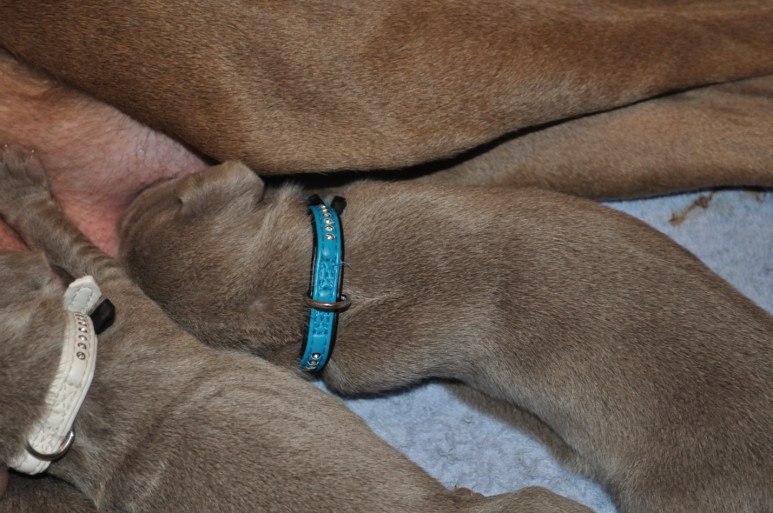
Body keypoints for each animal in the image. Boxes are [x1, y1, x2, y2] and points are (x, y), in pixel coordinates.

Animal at [0, 146, 595, 512]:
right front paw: (20, 186)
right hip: (539, 501)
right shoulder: (123, 301)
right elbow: (65, 234)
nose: (127, 199)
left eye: (159, 195)